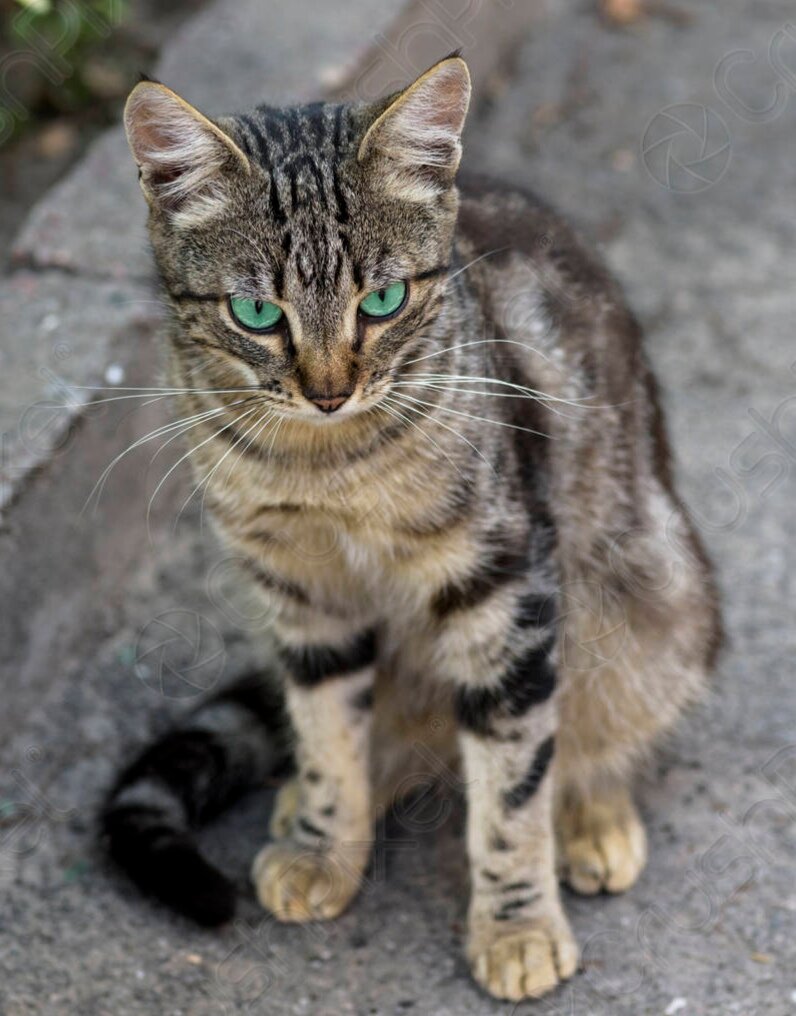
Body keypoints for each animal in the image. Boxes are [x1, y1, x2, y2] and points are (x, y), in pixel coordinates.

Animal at [101, 57, 723, 1007]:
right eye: (256, 314)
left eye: (384, 299)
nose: (328, 392)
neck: (325, 465)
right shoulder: (303, 594)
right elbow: (327, 730)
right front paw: (325, 841)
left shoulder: (504, 585)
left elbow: (512, 781)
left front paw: (517, 925)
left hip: (652, 597)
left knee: (591, 731)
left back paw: (592, 815)